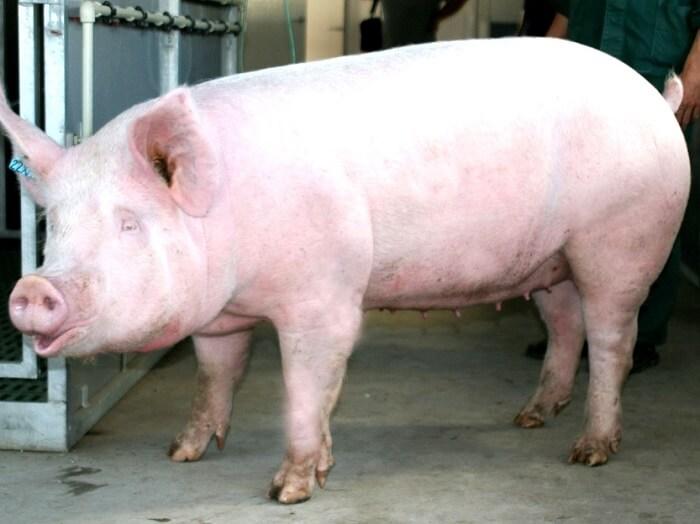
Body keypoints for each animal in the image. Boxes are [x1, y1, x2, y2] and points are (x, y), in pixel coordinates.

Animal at [1, 37, 689, 504]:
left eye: (128, 223)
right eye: (53, 225)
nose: (32, 288)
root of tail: (657, 100)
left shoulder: (325, 296)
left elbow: (308, 386)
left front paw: (289, 491)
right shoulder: (220, 317)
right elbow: (215, 375)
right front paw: (181, 453)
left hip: (619, 241)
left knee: (613, 339)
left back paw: (588, 452)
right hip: (554, 260)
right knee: (565, 326)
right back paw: (529, 417)